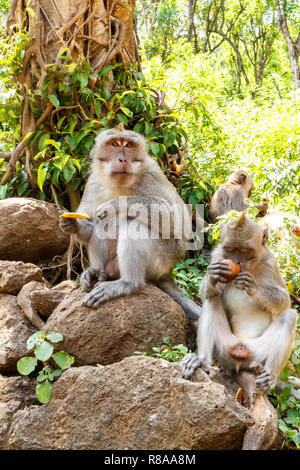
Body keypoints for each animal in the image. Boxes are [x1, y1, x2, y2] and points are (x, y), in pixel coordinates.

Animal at [180, 213, 298, 390]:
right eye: (231, 249)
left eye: (244, 250)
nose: (236, 261)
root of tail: (240, 350)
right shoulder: (218, 256)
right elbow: (206, 293)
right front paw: (213, 276)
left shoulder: (271, 262)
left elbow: (284, 301)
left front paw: (252, 287)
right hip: (224, 350)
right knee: (211, 300)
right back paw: (202, 361)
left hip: (257, 353)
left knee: (289, 316)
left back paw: (269, 376)